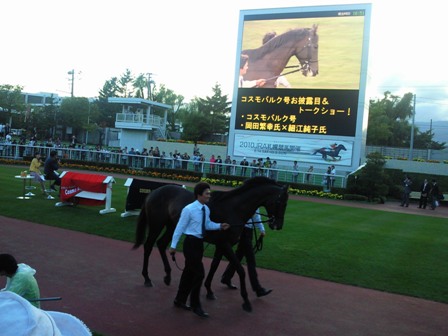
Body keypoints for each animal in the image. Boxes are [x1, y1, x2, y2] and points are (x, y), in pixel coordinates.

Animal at [133, 177, 288, 312]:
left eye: (286, 203)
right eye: (280, 202)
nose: (277, 225)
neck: (233, 208)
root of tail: (154, 192)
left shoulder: (221, 245)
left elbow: (214, 265)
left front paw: (209, 290)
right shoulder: (225, 244)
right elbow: (240, 269)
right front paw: (246, 301)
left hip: (173, 226)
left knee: (161, 244)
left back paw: (168, 275)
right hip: (157, 225)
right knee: (148, 246)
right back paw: (147, 278)